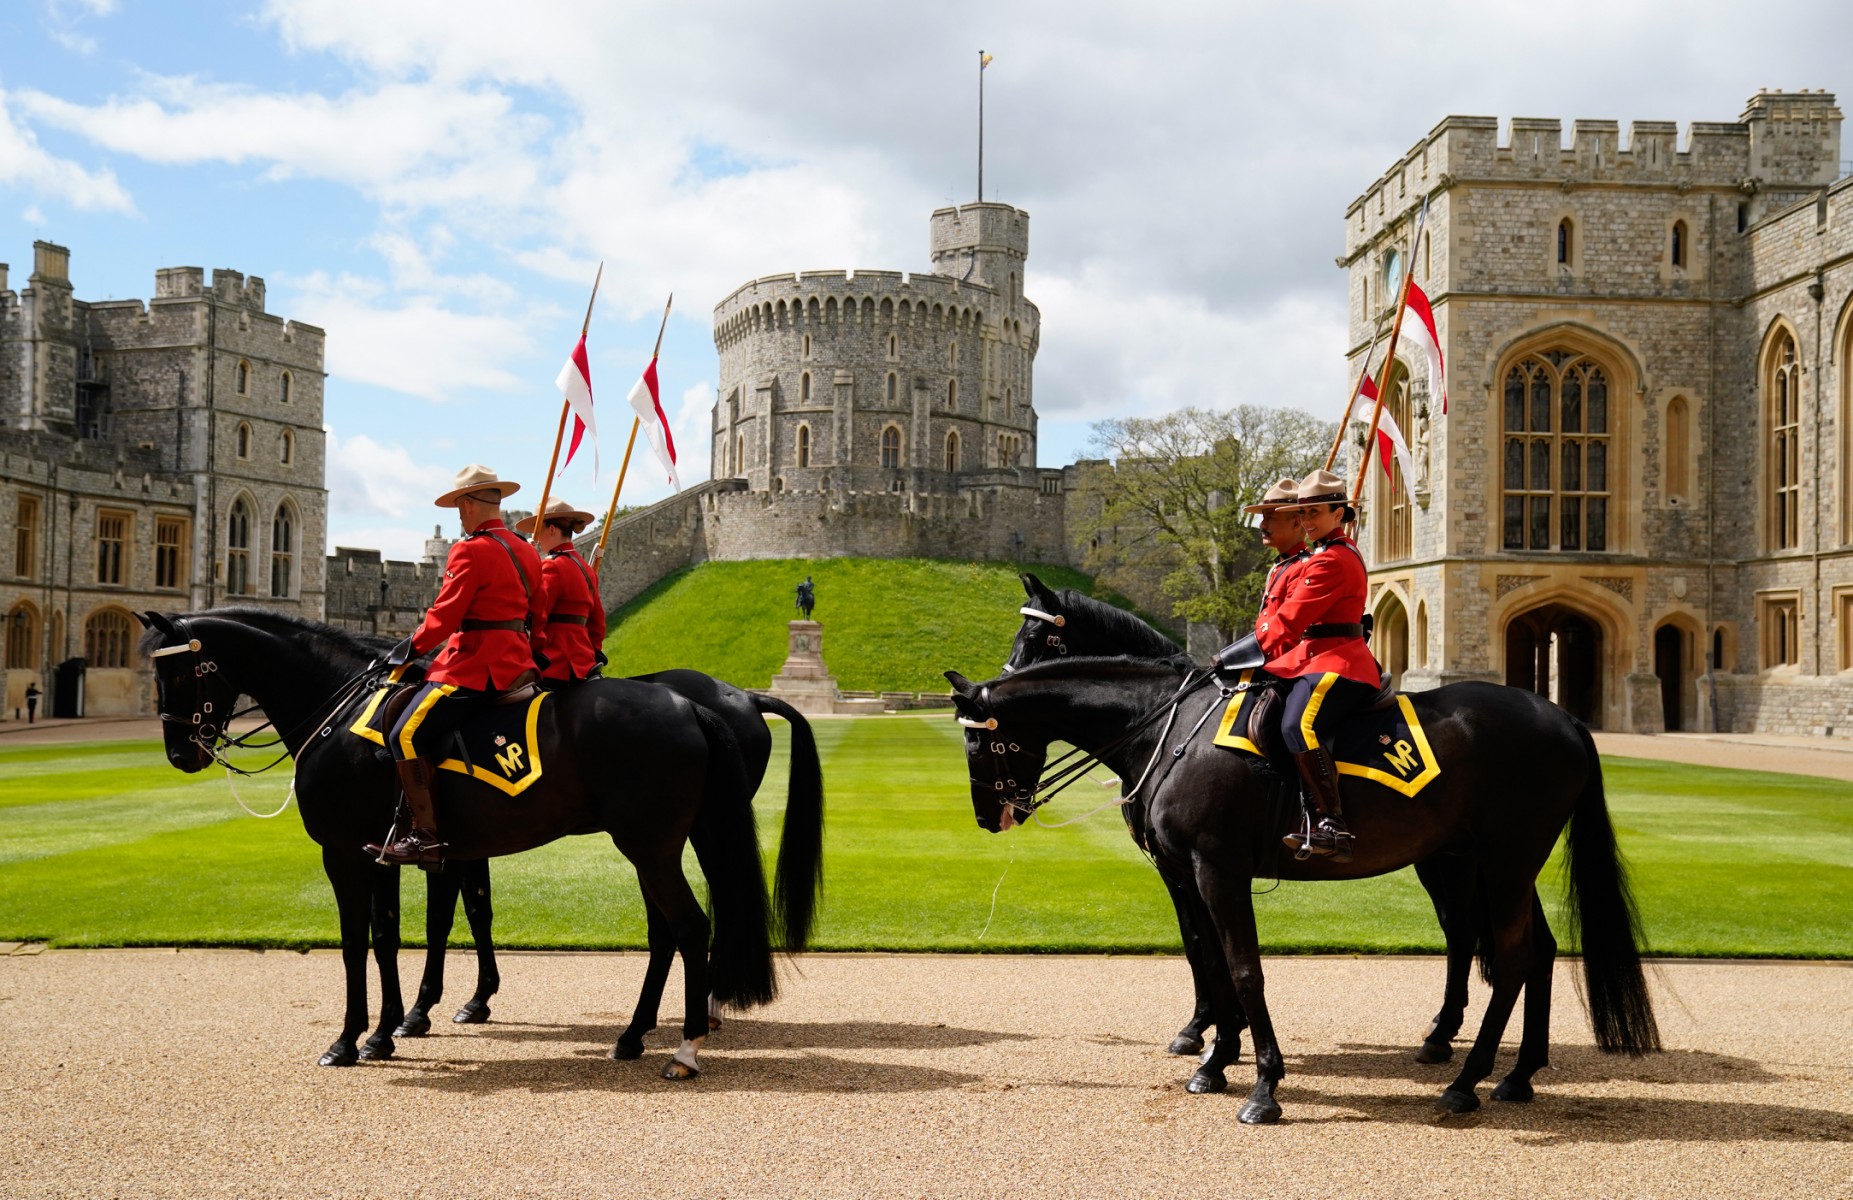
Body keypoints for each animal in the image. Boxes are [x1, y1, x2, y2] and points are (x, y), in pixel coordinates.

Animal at [140, 611, 807, 1081]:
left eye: (177, 671)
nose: (179, 754)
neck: (339, 709)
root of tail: (697, 703)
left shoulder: (348, 853)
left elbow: (364, 943)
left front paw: (353, 1039)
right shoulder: (396, 853)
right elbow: (398, 934)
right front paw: (392, 1028)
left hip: (653, 845)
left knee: (690, 927)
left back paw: (686, 1048)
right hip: (665, 844)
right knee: (672, 929)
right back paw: (635, 1034)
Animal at [948, 651, 1660, 1118]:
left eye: (978, 745)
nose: (988, 816)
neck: (1172, 732)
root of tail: (1563, 718)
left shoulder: (1216, 869)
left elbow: (1242, 969)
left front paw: (1262, 1083)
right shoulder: (1189, 872)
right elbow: (1211, 959)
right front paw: (1216, 1060)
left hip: (1502, 862)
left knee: (1508, 958)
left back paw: (1468, 1080)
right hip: (1492, 863)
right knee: (1533, 951)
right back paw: (1517, 1074)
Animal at [1008, 577, 1482, 1066]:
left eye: (1036, 637)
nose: (1001, 685)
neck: (1166, 728)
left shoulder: (1204, 863)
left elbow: (1212, 947)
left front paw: (1220, 1031)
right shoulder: (1175, 867)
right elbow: (1197, 943)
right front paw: (1208, 1026)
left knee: (1464, 931)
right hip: (1441, 855)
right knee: (1460, 929)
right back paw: (1442, 1029)